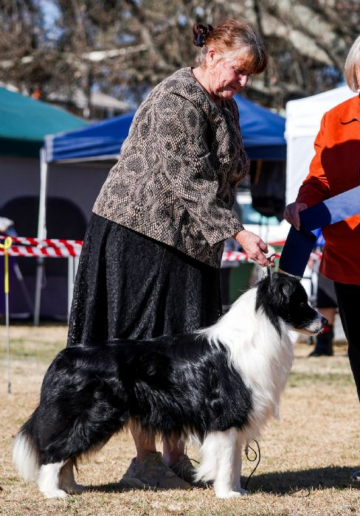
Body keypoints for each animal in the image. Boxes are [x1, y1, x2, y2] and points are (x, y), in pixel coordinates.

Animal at [12, 272, 326, 498]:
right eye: (301, 301)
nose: (323, 321)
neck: (263, 326)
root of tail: (62, 357)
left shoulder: (236, 420)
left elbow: (236, 461)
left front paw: (238, 490)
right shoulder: (225, 416)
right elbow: (226, 462)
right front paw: (227, 495)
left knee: (66, 453)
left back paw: (71, 487)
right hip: (92, 415)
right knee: (54, 451)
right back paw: (53, 493)